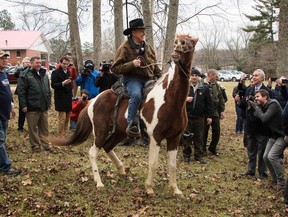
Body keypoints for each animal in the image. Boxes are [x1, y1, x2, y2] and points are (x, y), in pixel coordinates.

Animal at [49, 34, 198, 198]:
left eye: (191, 42)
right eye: (177, 41)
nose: (176, 52)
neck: (170, 99)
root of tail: (93, 100)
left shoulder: (174, 138)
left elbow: (172, 165)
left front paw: (175, 190)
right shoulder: (156, 137)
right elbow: (153, 163)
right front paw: (149, 188)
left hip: (120, 132)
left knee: (108, 146)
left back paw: (121, 170)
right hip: (100, 131)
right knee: (93, 152)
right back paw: (99, 182)